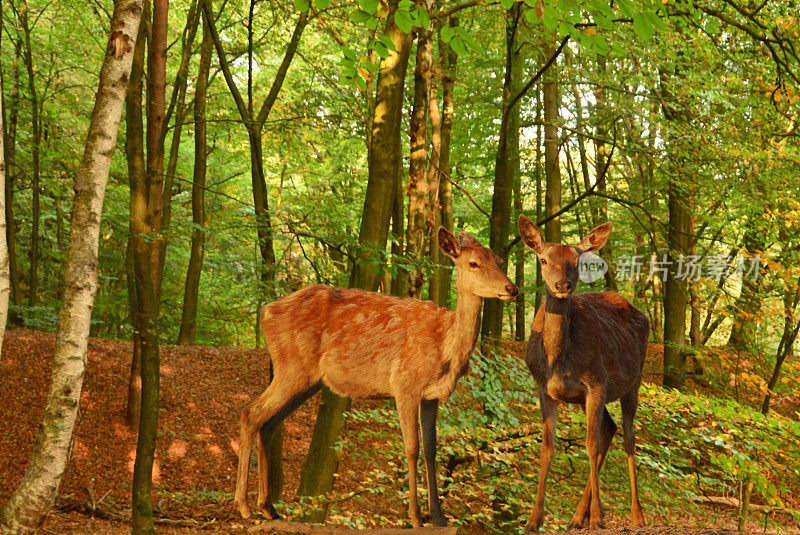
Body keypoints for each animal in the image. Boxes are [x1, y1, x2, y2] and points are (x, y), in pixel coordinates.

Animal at [234, 227, 520, 528]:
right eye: (473, 263)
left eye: (500, 261)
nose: (512, 288)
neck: (446, 349)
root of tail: (266, 311)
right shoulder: (405, 384)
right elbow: (412, 448)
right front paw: (416, 517)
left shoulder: (432, 396)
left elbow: (431, 449)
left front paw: (440, 518)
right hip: (291, 367)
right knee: (251, 414)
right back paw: (244, 506)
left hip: (305, 381)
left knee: (268, 424)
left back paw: (269, 508)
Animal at [520, 215, 648, 532]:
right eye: (543, 259)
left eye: (576, 261)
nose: (562, 285)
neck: (559, 361)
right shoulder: (545, 389)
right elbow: (547, 447)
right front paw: (534, 518)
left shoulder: (597, 382)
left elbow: (589, 445)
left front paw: (600, 516)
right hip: (586, 398)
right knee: (609, 428)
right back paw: (579, 516)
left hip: (633, 383)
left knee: (628, 438)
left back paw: (635, 514)